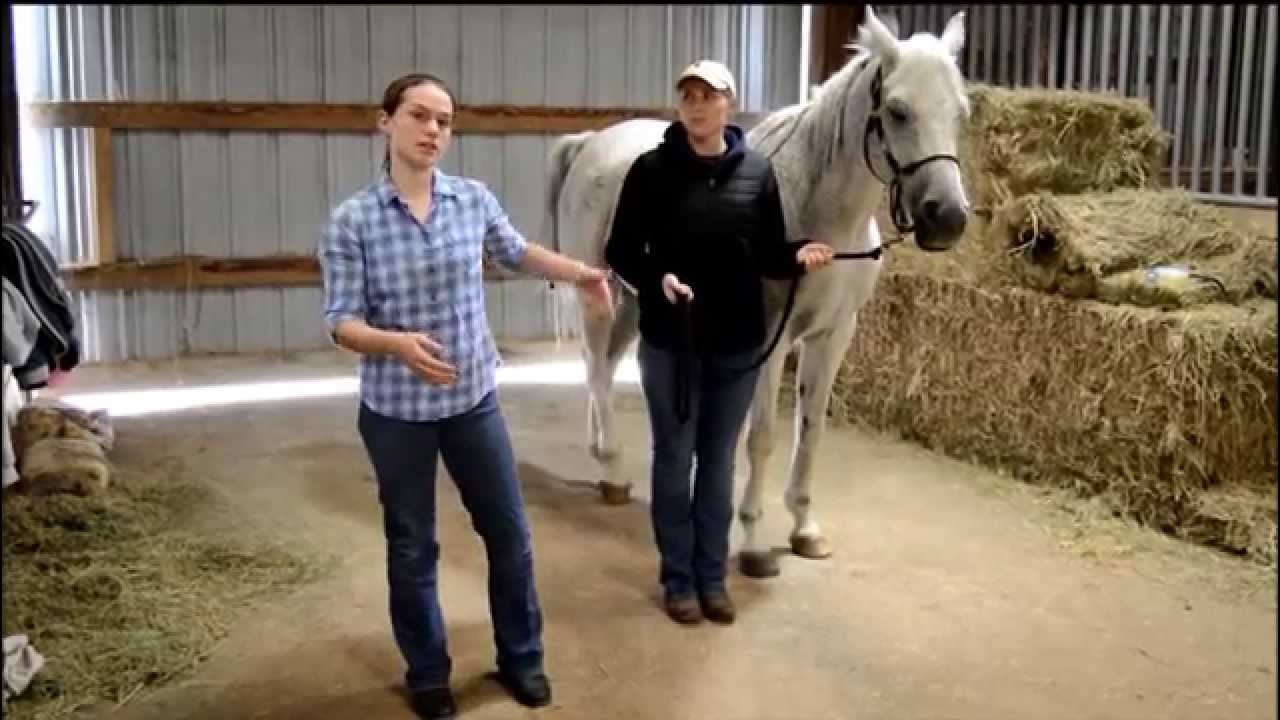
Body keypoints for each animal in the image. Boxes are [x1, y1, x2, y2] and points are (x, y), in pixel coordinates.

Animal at [540, 7, 972, 579]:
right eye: (898, 111)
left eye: (961, 112)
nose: (948, 218)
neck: (821, 220)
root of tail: (591, 142)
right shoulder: (770, 341)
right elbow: (762, 437)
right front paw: (751, 543)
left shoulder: (833, 336)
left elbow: (810, 431)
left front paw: (805, 529)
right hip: (597, 292)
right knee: (593, 367)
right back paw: (611, 473)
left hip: (636, 301)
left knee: (605, 370)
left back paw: (601, 454)